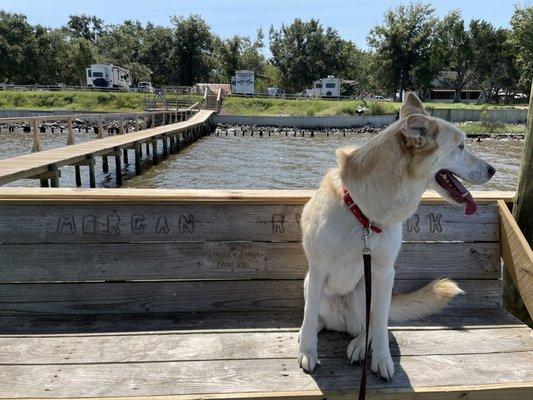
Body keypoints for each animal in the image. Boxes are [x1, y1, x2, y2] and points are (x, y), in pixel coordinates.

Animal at [298, 92, 496, 380]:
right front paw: (308, 351)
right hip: (310, 283)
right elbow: (309, 315)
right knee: (316, 318)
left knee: (371, 327)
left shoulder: (383, 273)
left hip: (363, 290)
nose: (493, 170)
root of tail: (343, 322)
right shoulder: (317, 270)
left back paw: (359, 346)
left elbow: (380, 325)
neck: (365, 214)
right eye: (460, 146)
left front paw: (382, 360)